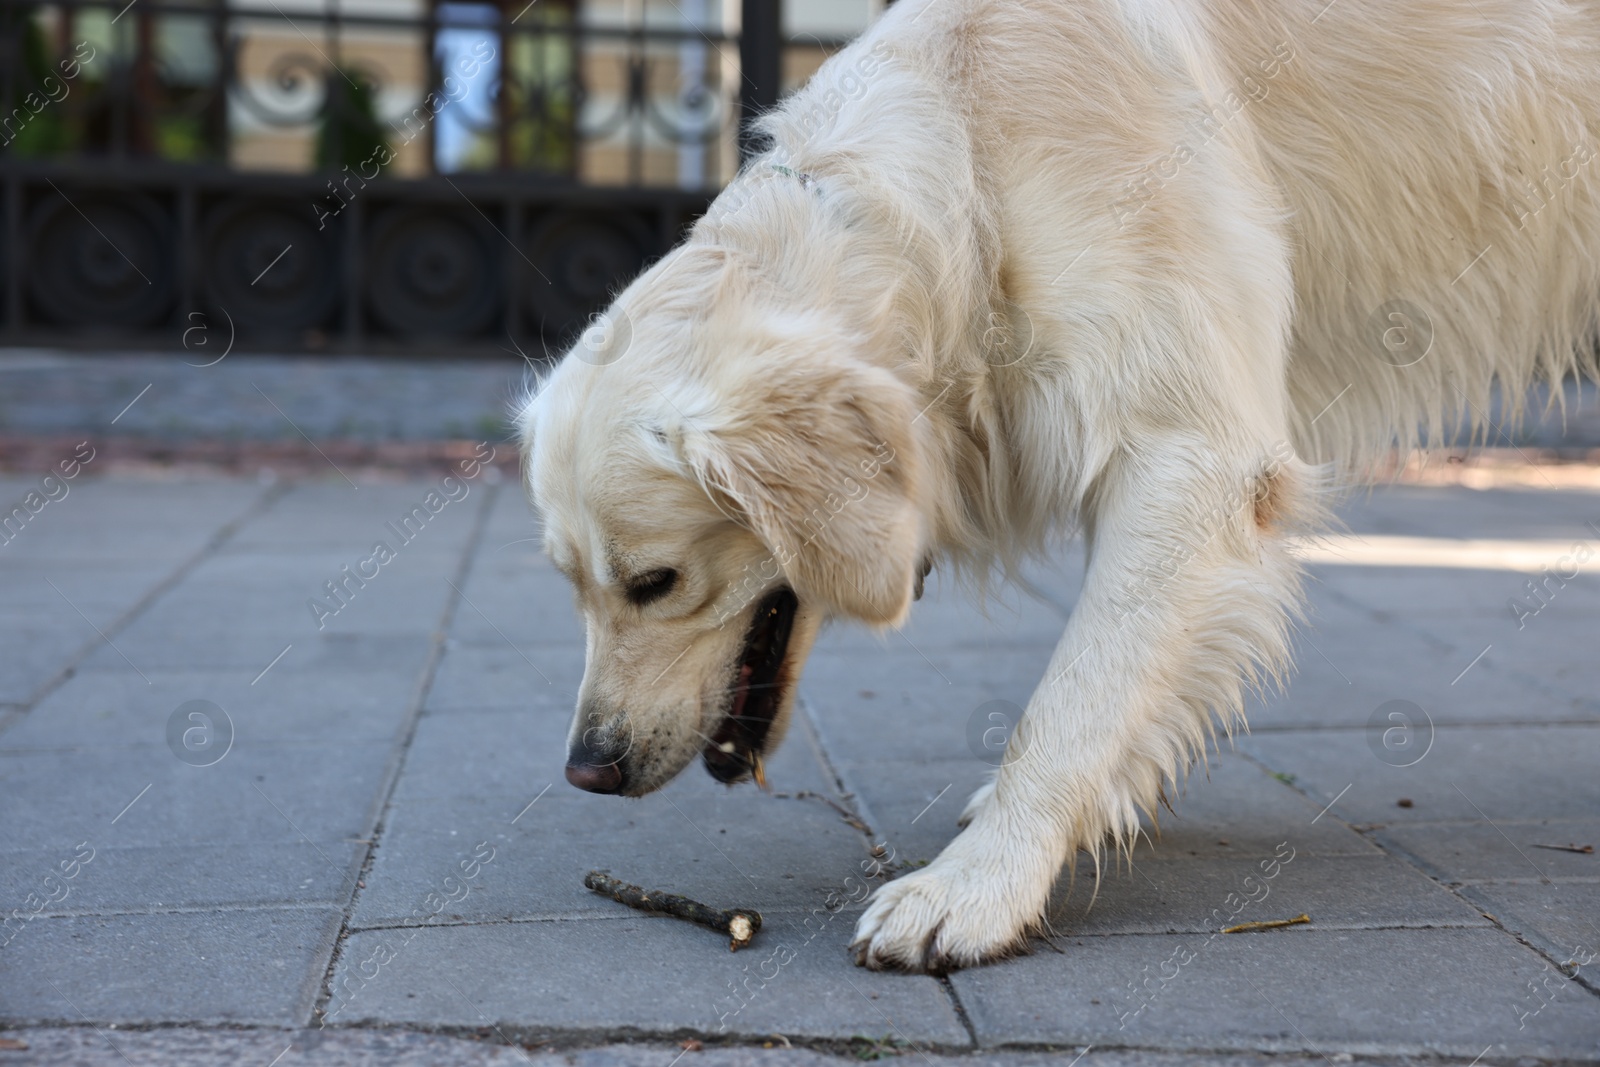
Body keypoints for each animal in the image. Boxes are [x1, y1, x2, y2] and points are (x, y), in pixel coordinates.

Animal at [521, 0, 1600, 966]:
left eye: (653, 583)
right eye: (569, 587)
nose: (586, 769)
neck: (965, 170)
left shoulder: (1191, 457)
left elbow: (1072, 696)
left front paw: (977, 883)